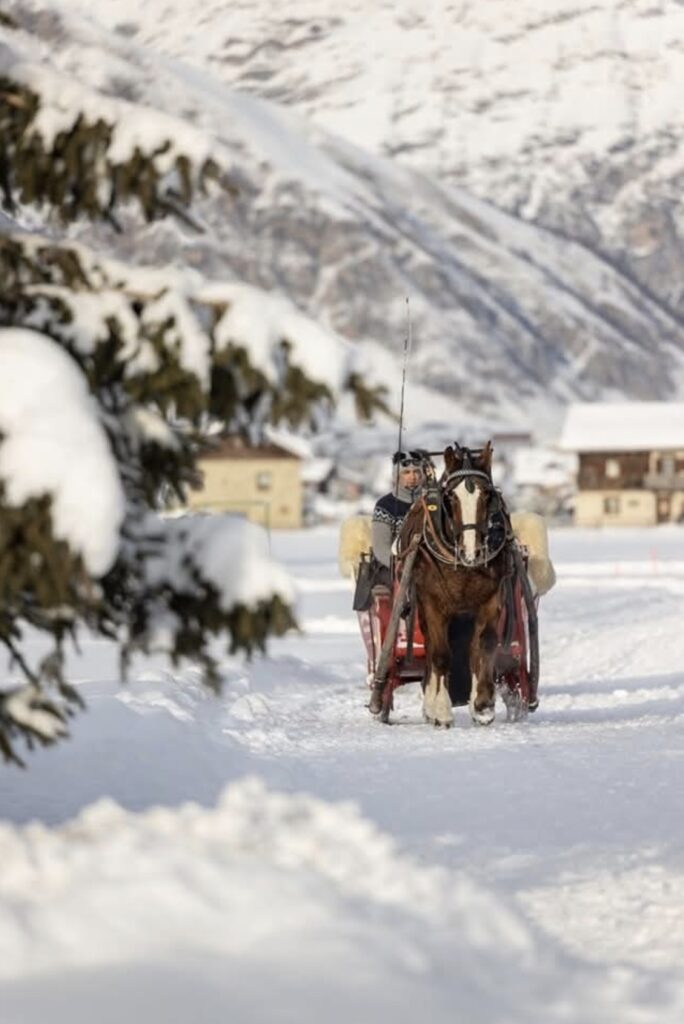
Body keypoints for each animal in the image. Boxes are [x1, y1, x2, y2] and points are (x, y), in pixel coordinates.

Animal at [397, 440, 509, 729]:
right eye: (450, 498)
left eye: (487, 495)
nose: (472, 551)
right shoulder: (433, 603)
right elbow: (440, 655)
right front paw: (441, 711)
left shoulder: (490, 600)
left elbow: (484, 645)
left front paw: (483, 704)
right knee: (432, 653)